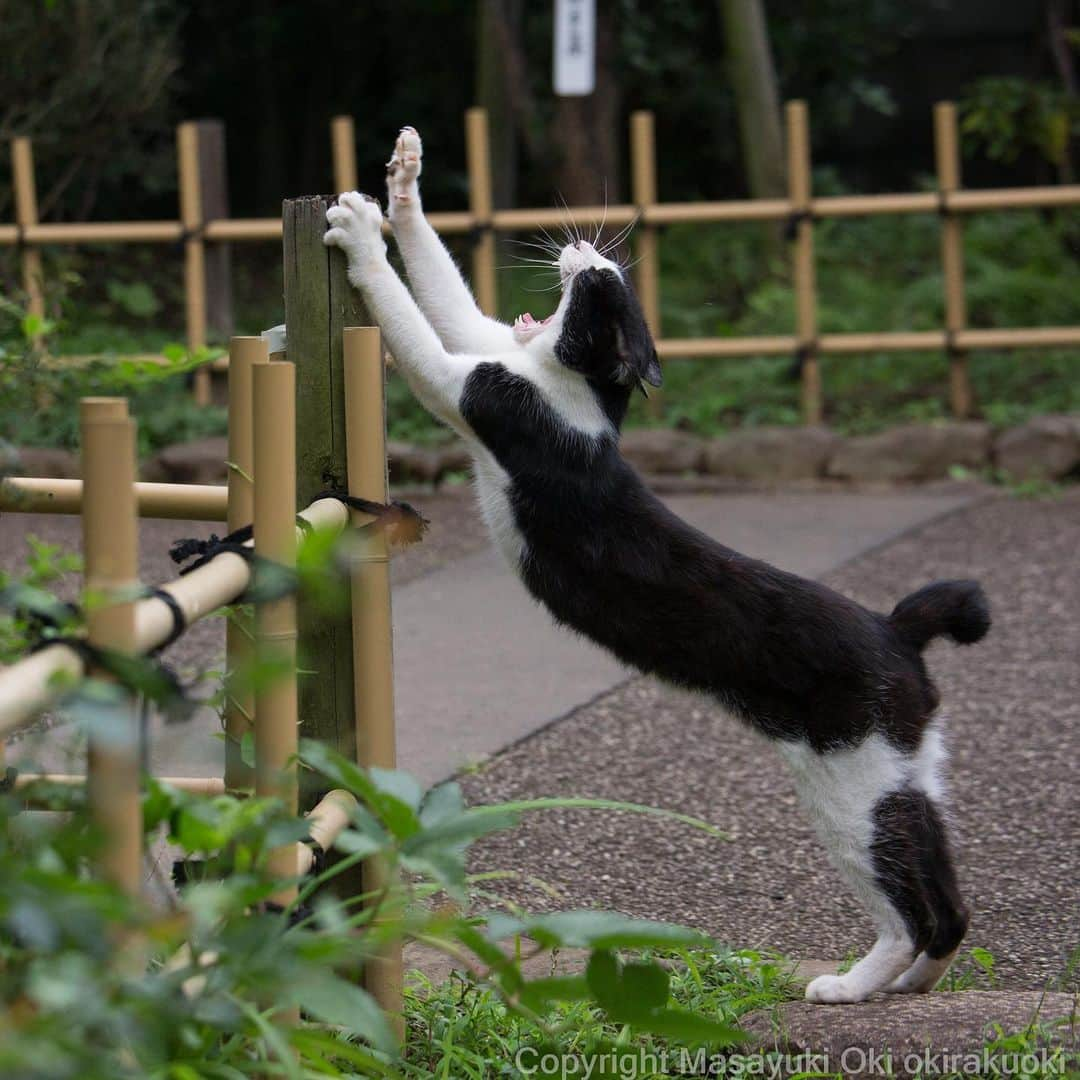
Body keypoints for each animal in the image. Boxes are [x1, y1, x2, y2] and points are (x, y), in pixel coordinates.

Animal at [324, 128, 989, 1002]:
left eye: (598, 290)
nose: (585, 248)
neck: (571, 391)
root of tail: (894, 628)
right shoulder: (492, 345)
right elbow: (445, 288)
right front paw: (403, 180)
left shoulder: (474, 387)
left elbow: (413, 320)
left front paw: (361, 234)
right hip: (910, 771)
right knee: (948, 894)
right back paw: (916, 981)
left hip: (851, 784)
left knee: (904, 896)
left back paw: (854, 983)